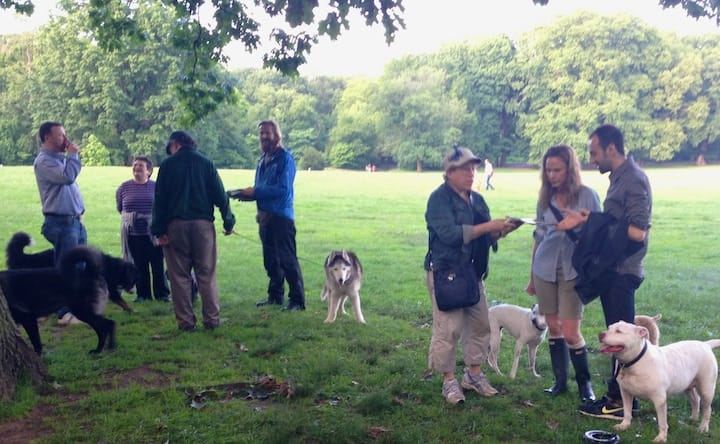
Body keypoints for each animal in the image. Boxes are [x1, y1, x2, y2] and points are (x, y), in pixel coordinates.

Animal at [6, 232, 135, 312]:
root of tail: (27, 257)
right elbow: (120, 300)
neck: (110, 267)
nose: (133, 292)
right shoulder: (109, 286)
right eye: (132, 280)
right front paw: (130, 309)